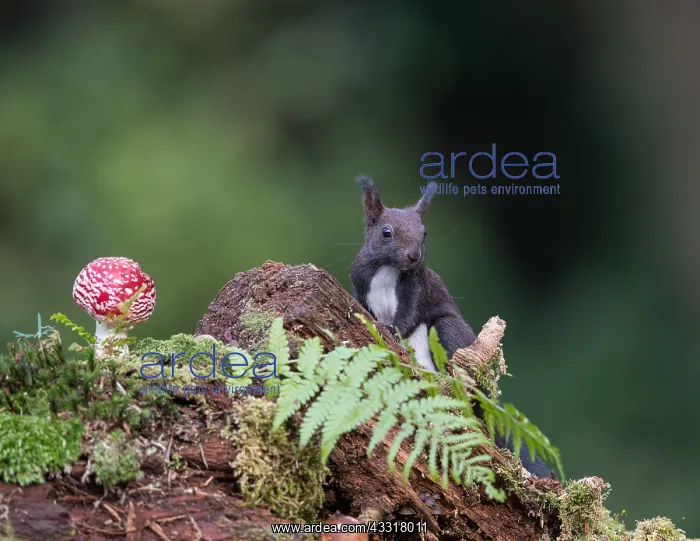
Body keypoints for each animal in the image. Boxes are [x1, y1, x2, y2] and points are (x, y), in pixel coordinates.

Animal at [349, 176, 555, 479]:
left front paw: (392, 331)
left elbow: (409, 315)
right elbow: (363, 304)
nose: (414, 255)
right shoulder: (361, 281)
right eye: (386, 232)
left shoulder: (418, 287)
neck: (388, 269)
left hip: (448, 329)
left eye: (424, 232)